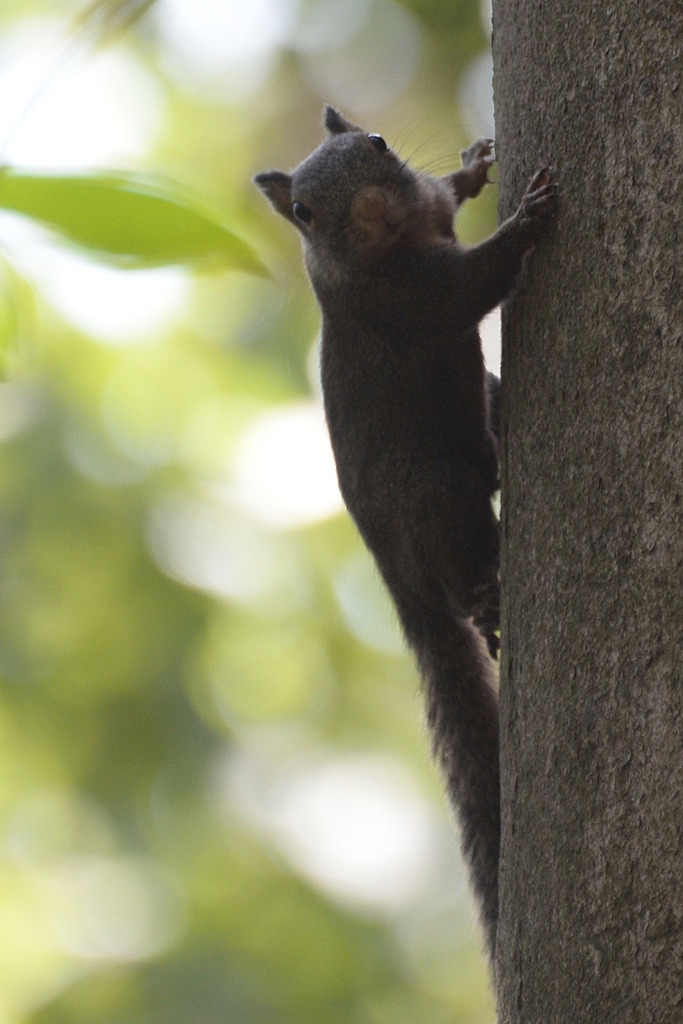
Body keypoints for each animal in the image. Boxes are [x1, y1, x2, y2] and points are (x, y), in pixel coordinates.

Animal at [255, 106, 558, 966]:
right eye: (304, 213)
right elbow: (474, 284)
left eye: (377, 145)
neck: (395, 242)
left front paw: (476, 166)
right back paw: (486, 605)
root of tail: (391, 565)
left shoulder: (426, 209)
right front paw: (525, 220)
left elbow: (450, 195)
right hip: (438, 500)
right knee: (462, 565)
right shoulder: (406, 299)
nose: (369, 208)